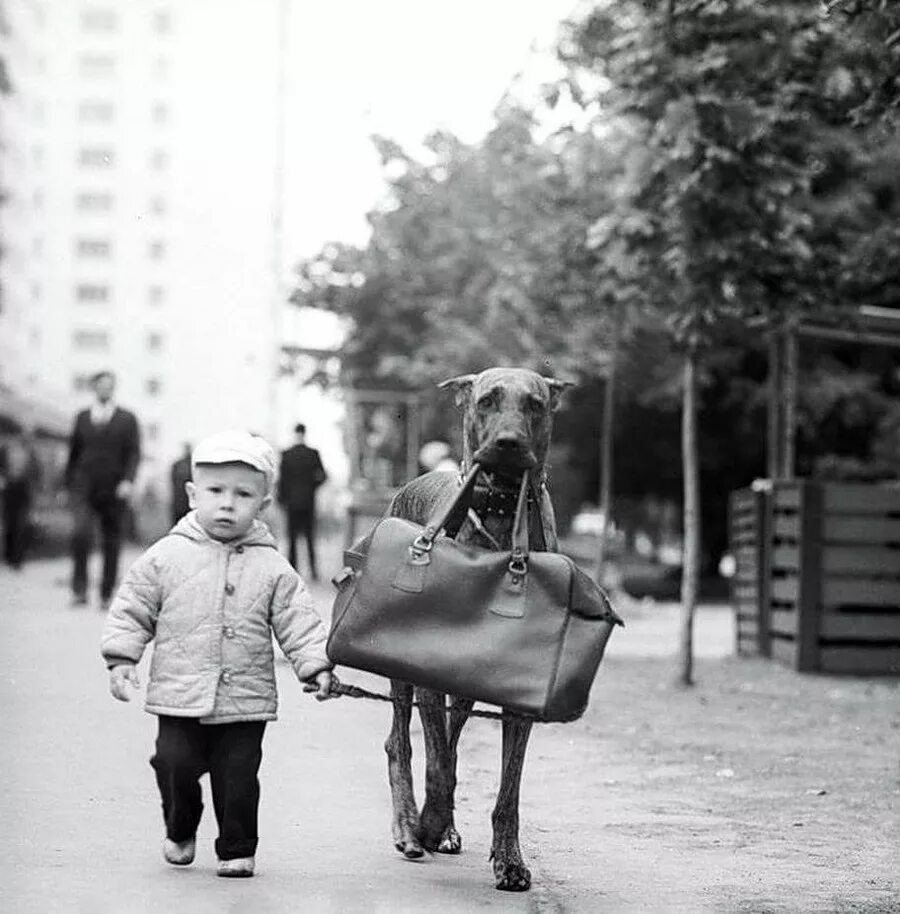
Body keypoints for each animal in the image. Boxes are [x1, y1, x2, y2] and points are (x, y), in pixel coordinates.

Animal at [384, 366, 572, 892]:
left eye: (535, 404)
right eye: (487, 400)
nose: (508, 443)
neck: (503, 505)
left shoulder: (521, 693)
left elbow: (508, 789)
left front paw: (509, 860)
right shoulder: (426, 675)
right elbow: (439, 763)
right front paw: (429, 824)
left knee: (452, 729)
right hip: (402, 672)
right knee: (402, 744)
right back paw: (410, 827)